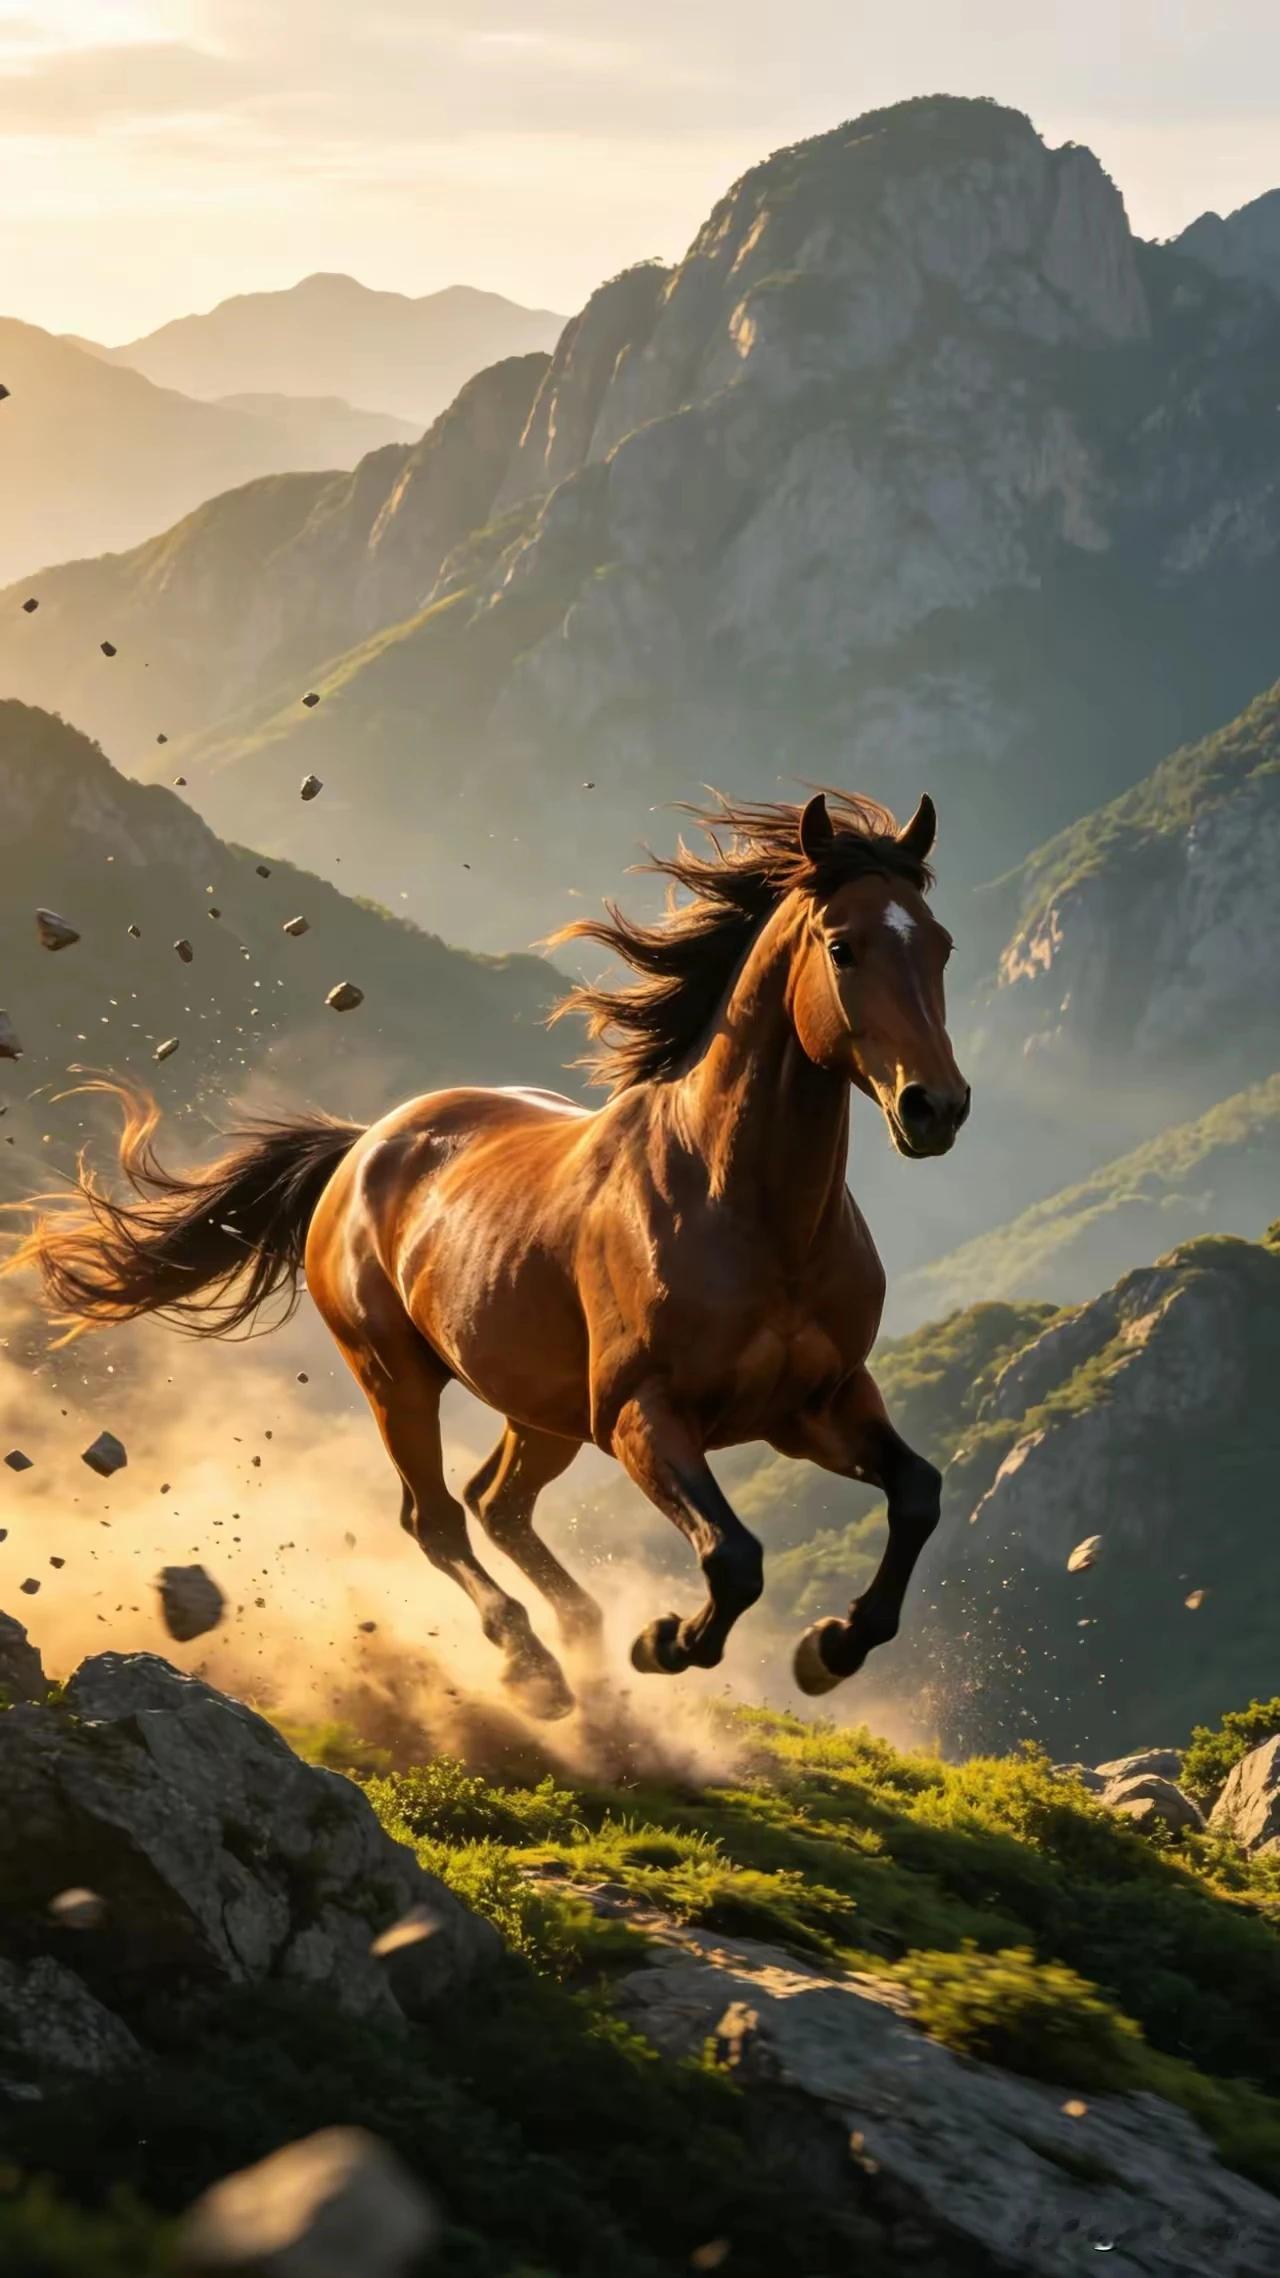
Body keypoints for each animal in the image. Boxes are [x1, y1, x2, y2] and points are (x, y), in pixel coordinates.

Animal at [6, 789, 969, 1720]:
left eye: (943, 946)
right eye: (842, 947)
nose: (936, 1108)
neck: (751, 1218)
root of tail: (362, 1147)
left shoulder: (817, 1403)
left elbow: (919, 1494)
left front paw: (830, 1647)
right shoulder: (642, 1415)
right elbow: (734, 1556)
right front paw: (665, 1642)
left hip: (539, 1408)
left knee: (494, 1505)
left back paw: (581, 1640)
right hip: (398, 1379)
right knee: (435, 1518)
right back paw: (539, 1669)